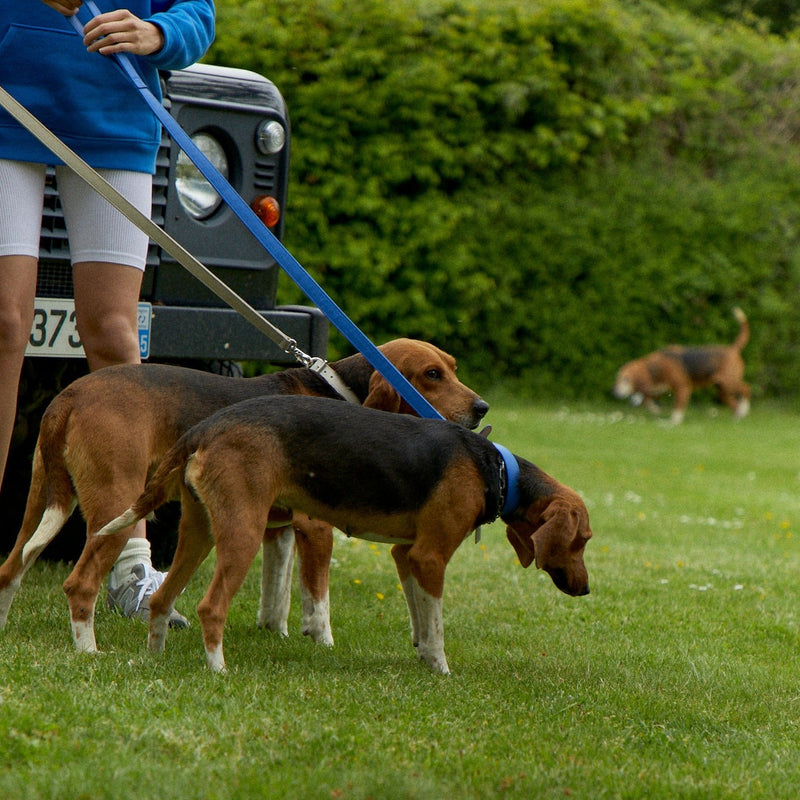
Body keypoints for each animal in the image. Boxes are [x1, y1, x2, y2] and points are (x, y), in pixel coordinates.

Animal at [95, 394, 592, 676]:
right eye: (585, 539)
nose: (587, 589)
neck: (497, 469)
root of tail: (206, 427)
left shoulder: (407, 555)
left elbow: (419, 617)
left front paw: (422, 656)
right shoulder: (430, 557)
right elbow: (435, 624)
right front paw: (441, 667)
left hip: (198, 534)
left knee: (162, 600)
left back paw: (154, 659)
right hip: (242, 534)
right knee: (209, 607)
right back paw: (218, 670)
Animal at [612, 304, 752, 422]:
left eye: (626, 379)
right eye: (618, 378)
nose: (615, 392)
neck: (655, 366)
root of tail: (732, 348)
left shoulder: (682, 387)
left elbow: (677, 406)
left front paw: (672, 422)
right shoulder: (657, 389)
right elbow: (647, 400)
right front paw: (655, 410)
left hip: (729, 382)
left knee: (746, 389)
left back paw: (744, 408)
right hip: (721, 389)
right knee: (733, 402)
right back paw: (738, 416)